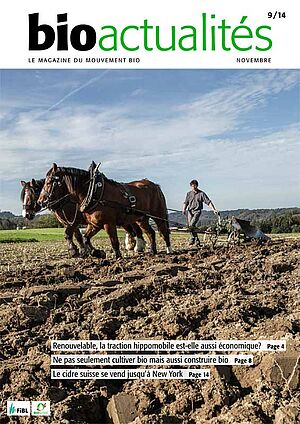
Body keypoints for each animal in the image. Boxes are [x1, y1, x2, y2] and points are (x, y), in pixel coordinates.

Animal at [37, 164, 172, 258]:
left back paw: (168, 250)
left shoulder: (107, 223)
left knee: (163, 231)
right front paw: (95, 252)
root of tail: (155, 185)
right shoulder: (94, 224)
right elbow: (85, 238)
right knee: (150, 232)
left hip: (158, 214)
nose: (40, 201)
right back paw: (152, 251)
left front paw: (117, 257)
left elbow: (114, 241)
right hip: (141, 218)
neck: (92, 193)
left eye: (49, 182)